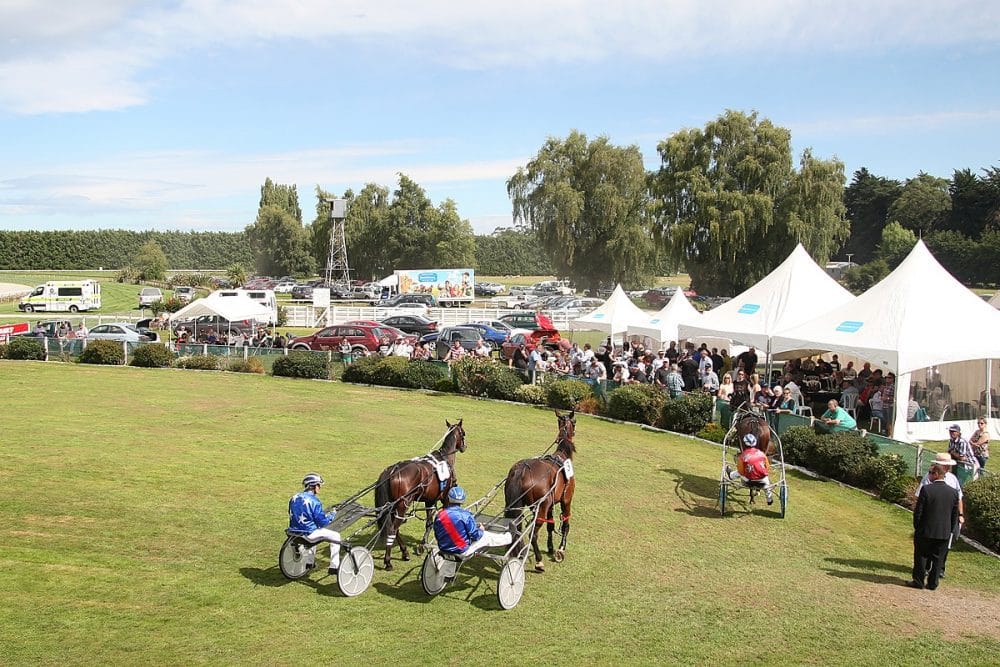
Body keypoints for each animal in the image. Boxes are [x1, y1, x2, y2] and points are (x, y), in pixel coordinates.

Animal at [376, 420, 468, 572]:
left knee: (395, 528)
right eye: (463, 433)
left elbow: (429, 523)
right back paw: (388, 561)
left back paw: (405, 552)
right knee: (392, 529)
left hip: (393, 507)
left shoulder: (429, 501)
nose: (464, 446)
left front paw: (421, 545)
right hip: (403, 505)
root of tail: (393, 470)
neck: (445, 458)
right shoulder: (445, 499)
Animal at [504, 410, 576, 572]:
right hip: (541, 507)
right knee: (533, 533)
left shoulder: (550, 504)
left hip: (518, 505)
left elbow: (551, 525)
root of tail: (522, 470)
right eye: (575, 422)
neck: (562, 455)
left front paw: (550, 547)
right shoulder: (566, 500)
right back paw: (538, 561)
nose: (574, 431)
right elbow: (566, 523)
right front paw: (561, 549)